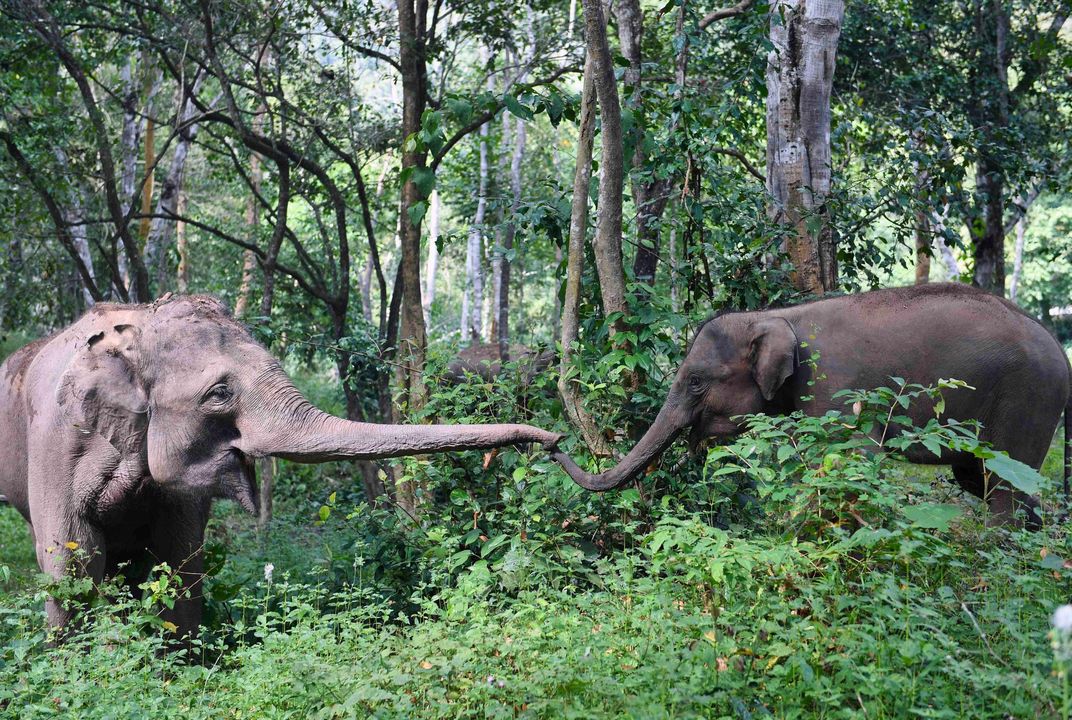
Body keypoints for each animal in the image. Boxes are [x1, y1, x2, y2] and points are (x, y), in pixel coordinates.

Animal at [0, 294, 559, 638]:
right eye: (219, 394)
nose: (555, 442)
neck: (138, 326)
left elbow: (179, 555)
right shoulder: (57, 440)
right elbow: (71, 558)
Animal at [552, 283, 1072, 526]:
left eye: (696, 382)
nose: (554, 442)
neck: (775, 315)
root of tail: (1060, 348)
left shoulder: (836, 387)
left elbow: (849, 460)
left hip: (1029, 399)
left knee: (1003, 485)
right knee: (982, 481)